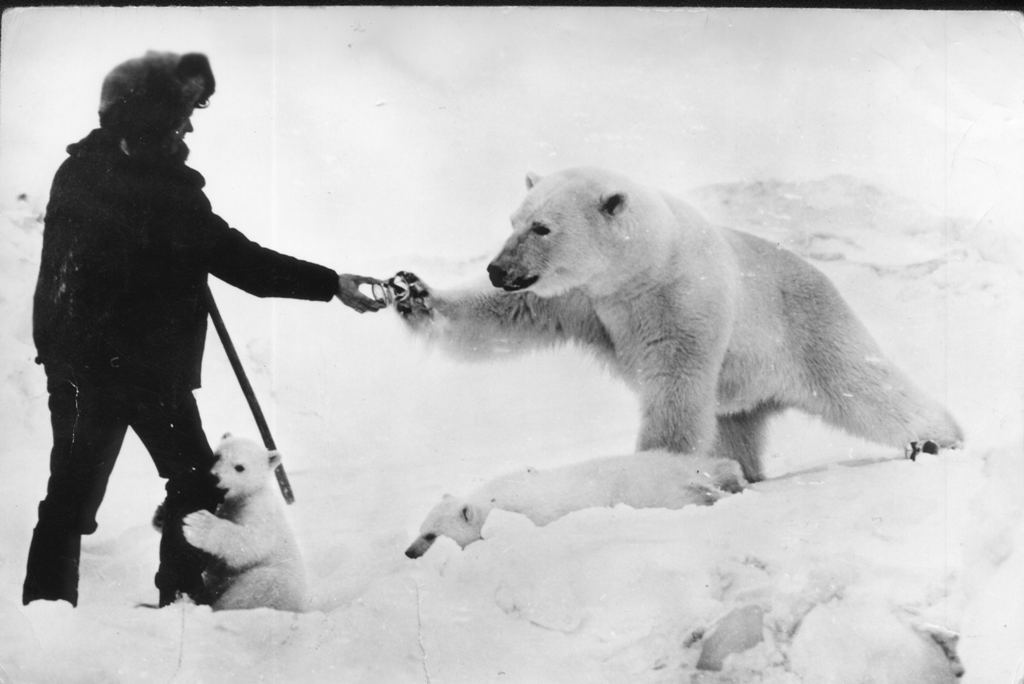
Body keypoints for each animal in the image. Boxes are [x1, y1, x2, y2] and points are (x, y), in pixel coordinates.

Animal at [391, 165, 958, 481]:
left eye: (542, 227)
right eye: (513, 220)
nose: (497, 268)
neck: (639, 270)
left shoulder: (682, 301)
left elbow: (675, 387)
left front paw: (653, 469)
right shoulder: (581, 299)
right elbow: (507, 315)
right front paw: (413, 292)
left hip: (807, 327)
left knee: (864, 387)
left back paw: (937, 441)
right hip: (742, 388)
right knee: (735, 427)